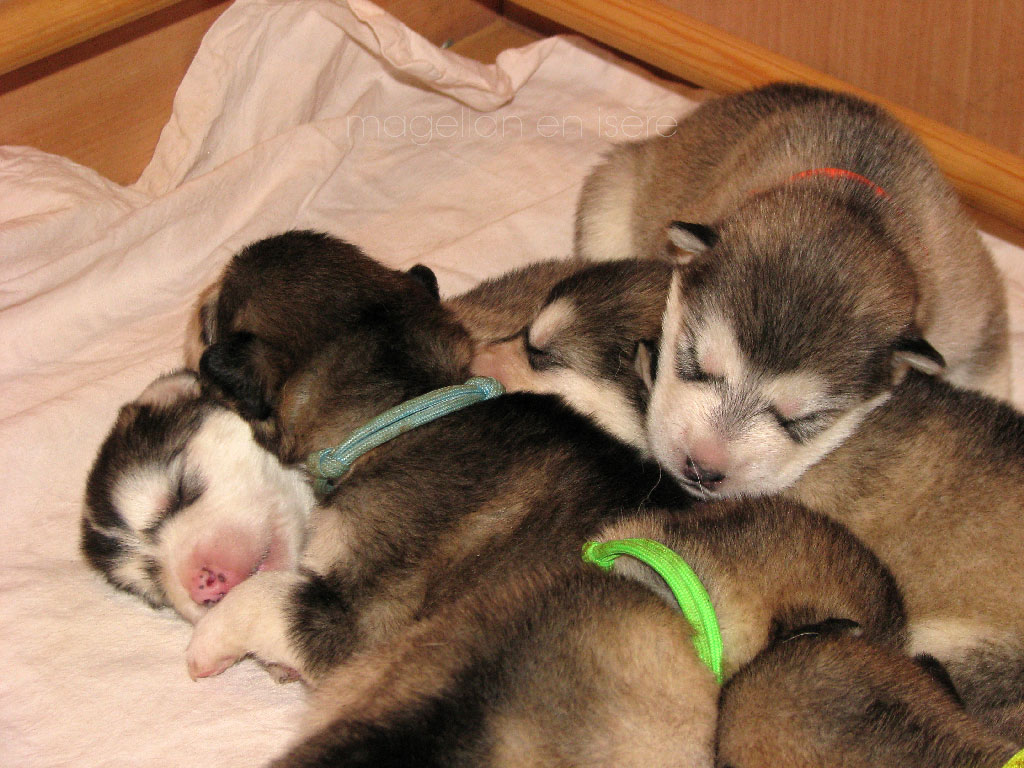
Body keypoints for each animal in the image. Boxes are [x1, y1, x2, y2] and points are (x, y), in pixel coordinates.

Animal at [577, 79, 1007, 499]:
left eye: (802, 417)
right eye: (696, 364)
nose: (701, 469)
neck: (853, 206)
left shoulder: (971, 321)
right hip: (613, 201)